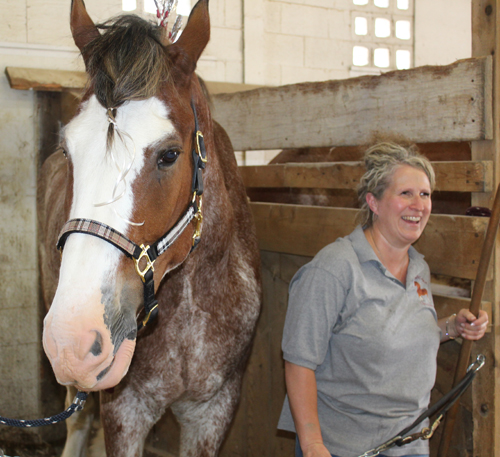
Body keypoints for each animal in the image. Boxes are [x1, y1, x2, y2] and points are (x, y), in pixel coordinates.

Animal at [37, 1, 262, 454]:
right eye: (67, 151)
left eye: (169, 154)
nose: (72, 340)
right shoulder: (124, 410)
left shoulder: (212, 411)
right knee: (76, 419)